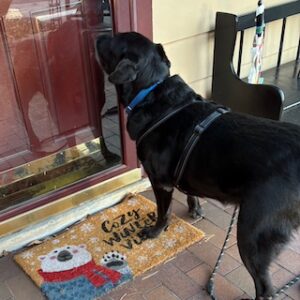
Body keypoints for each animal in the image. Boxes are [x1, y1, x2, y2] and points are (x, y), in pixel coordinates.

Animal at [96, 31, 300, 298]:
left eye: (113, 40)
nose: (98, 36)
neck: (152, 92)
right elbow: (189, 190)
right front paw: (195, 208)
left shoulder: (159, 181)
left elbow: (163, 212)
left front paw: (155, 231)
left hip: (252, 234)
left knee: (265, 286)